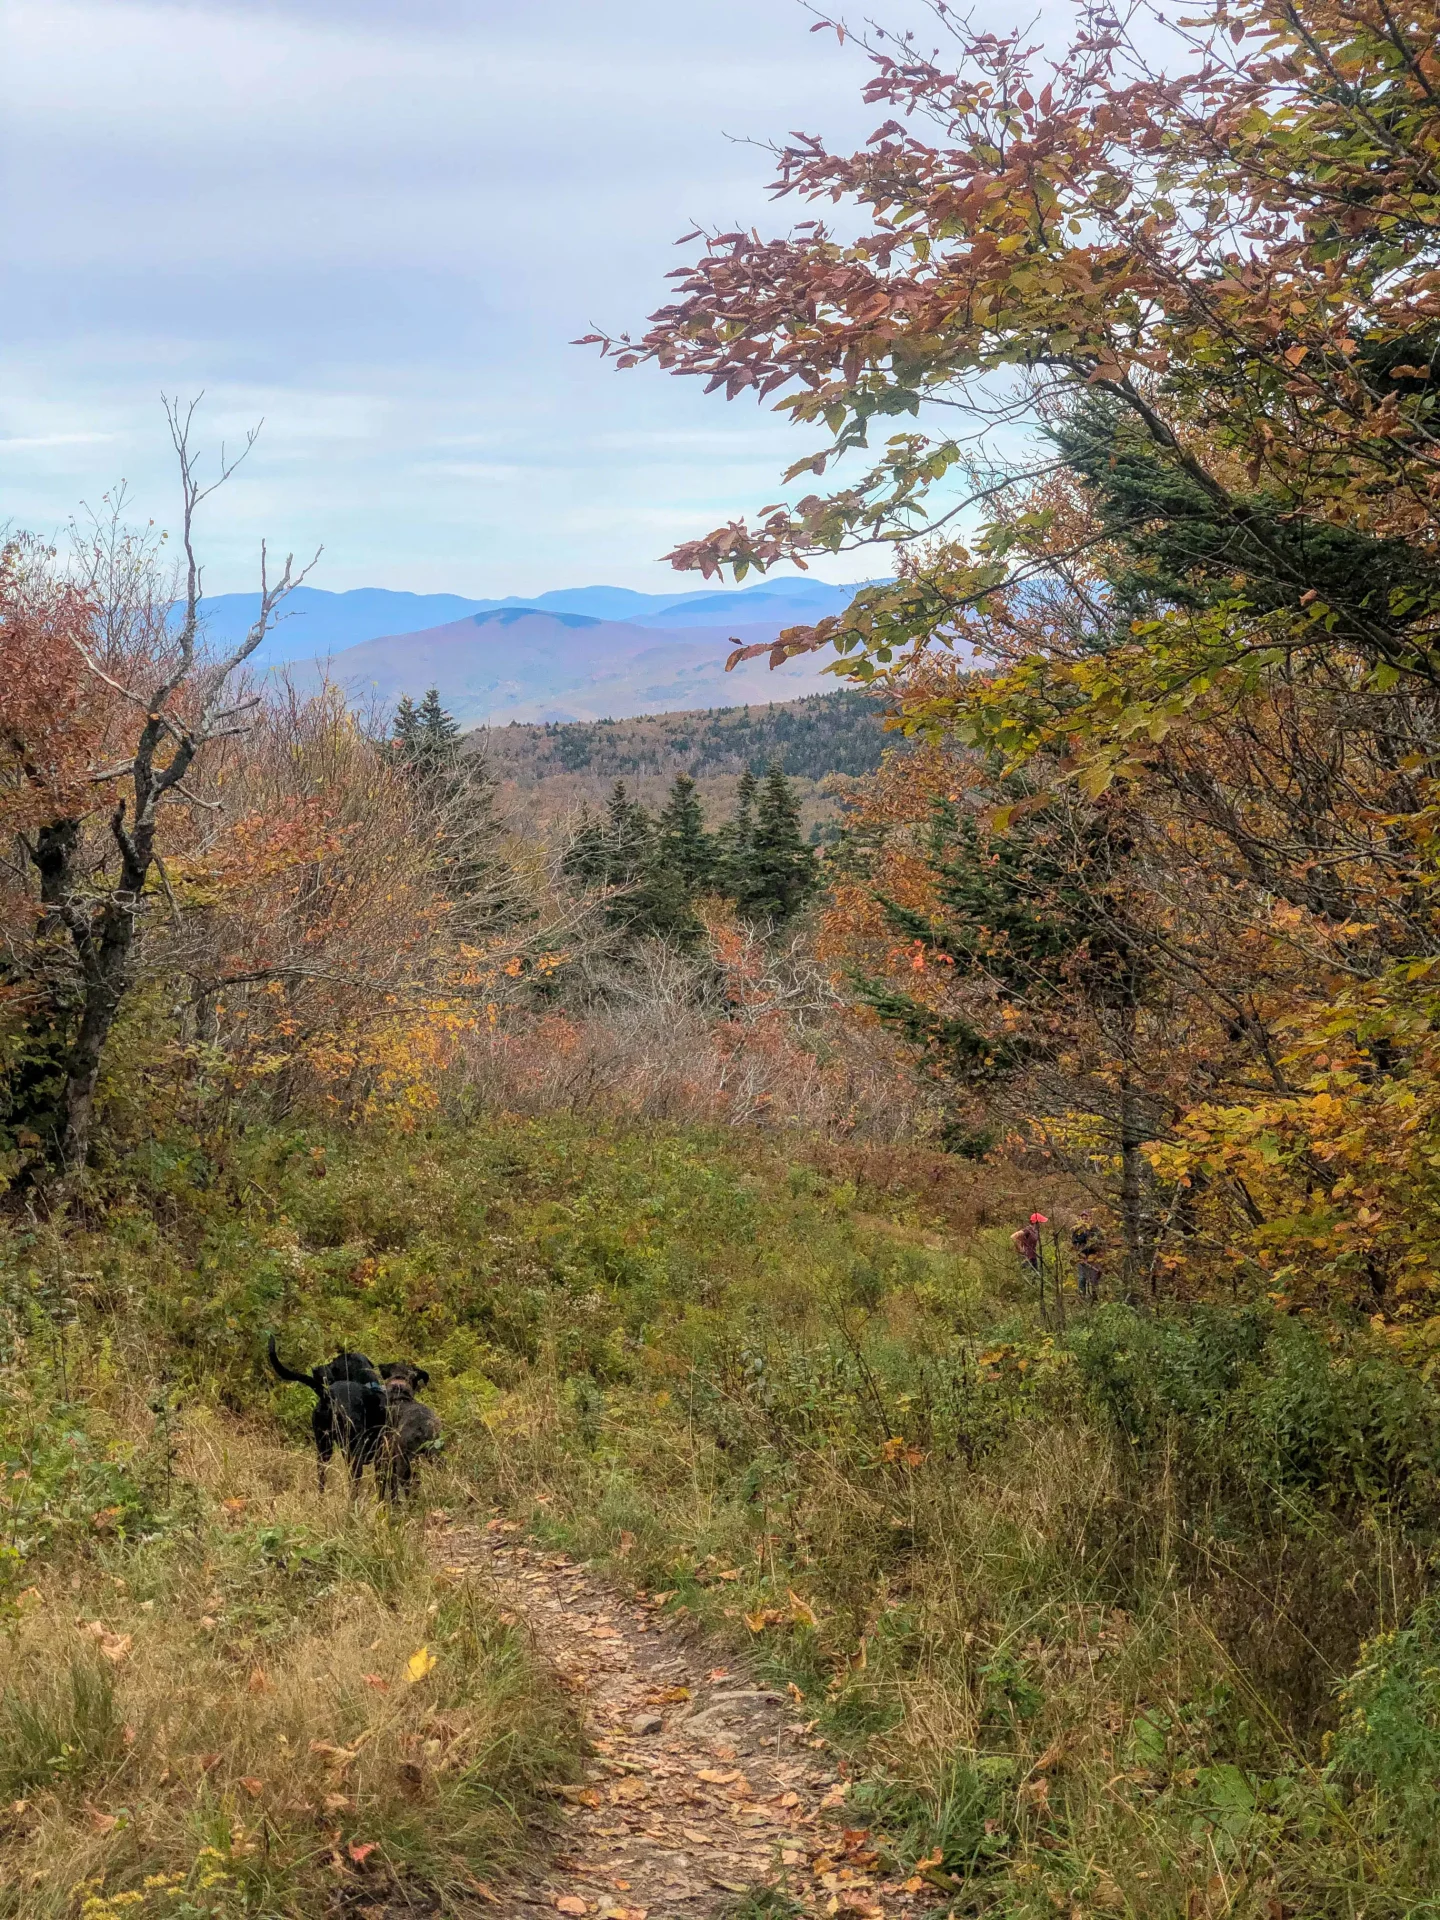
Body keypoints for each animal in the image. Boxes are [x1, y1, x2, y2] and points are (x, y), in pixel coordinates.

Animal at [264, 1344, 389, 1489]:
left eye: (333, 1364)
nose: (314, 1369)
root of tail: (329, 1396)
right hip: (353, 1453)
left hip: (324, 1448)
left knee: (322, 1478)